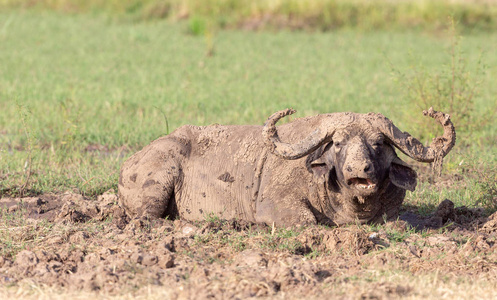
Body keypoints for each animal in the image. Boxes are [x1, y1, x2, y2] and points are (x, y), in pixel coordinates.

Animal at [118, 107, 456, 225]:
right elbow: (307, 221)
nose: (358, 170)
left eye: (378, 143)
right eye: (338, 143)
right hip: (158, 183)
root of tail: (130, 161)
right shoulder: (276, 205)